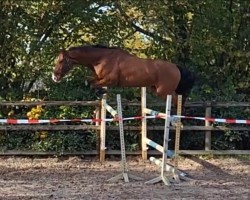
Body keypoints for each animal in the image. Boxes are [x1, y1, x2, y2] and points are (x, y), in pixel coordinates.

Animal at [51, 44, 194, 106]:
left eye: (61, 61)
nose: (54, 77)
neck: (101, 59)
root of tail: (176, 67)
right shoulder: (100, 78)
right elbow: (89, 82)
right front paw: (101, 92)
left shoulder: (110, 80)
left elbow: (92, 85)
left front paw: (101, 91)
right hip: (155, 89)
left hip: (164, 91)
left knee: (177, 100)